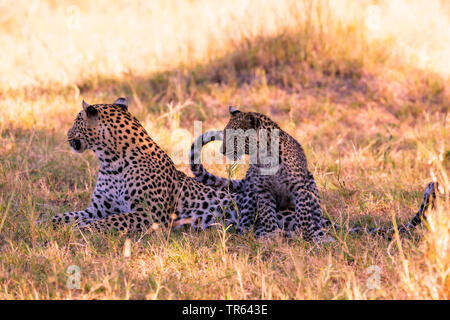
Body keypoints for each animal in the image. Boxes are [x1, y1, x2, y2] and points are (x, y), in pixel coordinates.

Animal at [51, 97, 241, 232]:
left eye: (76, 122)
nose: (67, 133)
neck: (110, 163)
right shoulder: (98, 208)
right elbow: (68, 215)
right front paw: (51, 222)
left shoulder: (151, 214)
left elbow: (112, 220)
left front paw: (84, 228)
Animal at [188, 106, 438, 241]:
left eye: (235, 138)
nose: (222, 150)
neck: (263, 153)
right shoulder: (261, 189)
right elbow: (268, 214)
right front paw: (271, 235)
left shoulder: (300, 187)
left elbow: (304, 215)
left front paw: (307, 237)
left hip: (312, 185)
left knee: (314, 216)